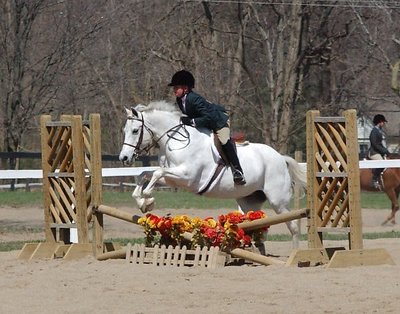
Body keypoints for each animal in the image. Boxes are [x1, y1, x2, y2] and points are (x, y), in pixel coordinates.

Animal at [119, 102, 306, 247]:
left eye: (135, 131)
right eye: (124, 130)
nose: (124, 158)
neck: (175, 140)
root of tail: (281, 158)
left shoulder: (187, 177)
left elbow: (156, 173)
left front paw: (147, 199)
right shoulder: (174, 179)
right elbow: (145, 174)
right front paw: (143, 202)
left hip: (278, 201)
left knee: (293, 226)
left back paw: (294, 255)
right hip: (249, 201)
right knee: (255, 225)